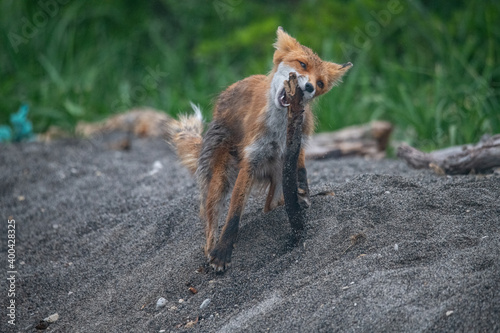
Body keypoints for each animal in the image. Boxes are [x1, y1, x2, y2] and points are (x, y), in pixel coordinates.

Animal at [165, 26, 352, 270]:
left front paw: (303, 187)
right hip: (221, 179)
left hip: (279, 181)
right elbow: (234, 214)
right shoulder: (251, 160)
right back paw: (211, 249)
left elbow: (301, 168)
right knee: (210, 223)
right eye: (302, 65)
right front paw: (223, 252)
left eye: (320, 83)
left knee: (271, 206)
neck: (279, 129)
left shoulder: (297, 144)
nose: (309, 87)